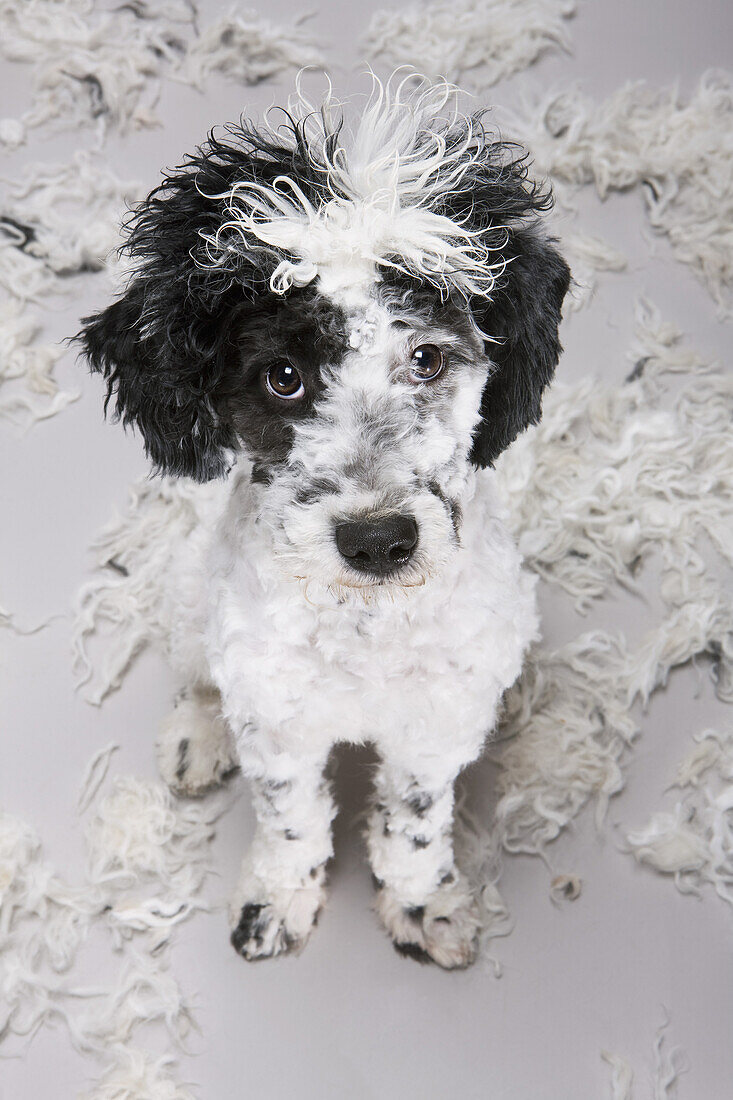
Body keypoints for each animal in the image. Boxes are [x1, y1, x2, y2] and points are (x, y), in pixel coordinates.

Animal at [78, 77, 572, 968]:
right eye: (283, 377)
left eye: (426, 358)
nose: (377, 541)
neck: (362, 627)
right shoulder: (278, 726)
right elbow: (291, 821)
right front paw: (277, 899)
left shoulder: (429, 728)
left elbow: (414, 823)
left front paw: (419, 903)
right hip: (188, 598)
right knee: (200, 674)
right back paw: (196, 736)